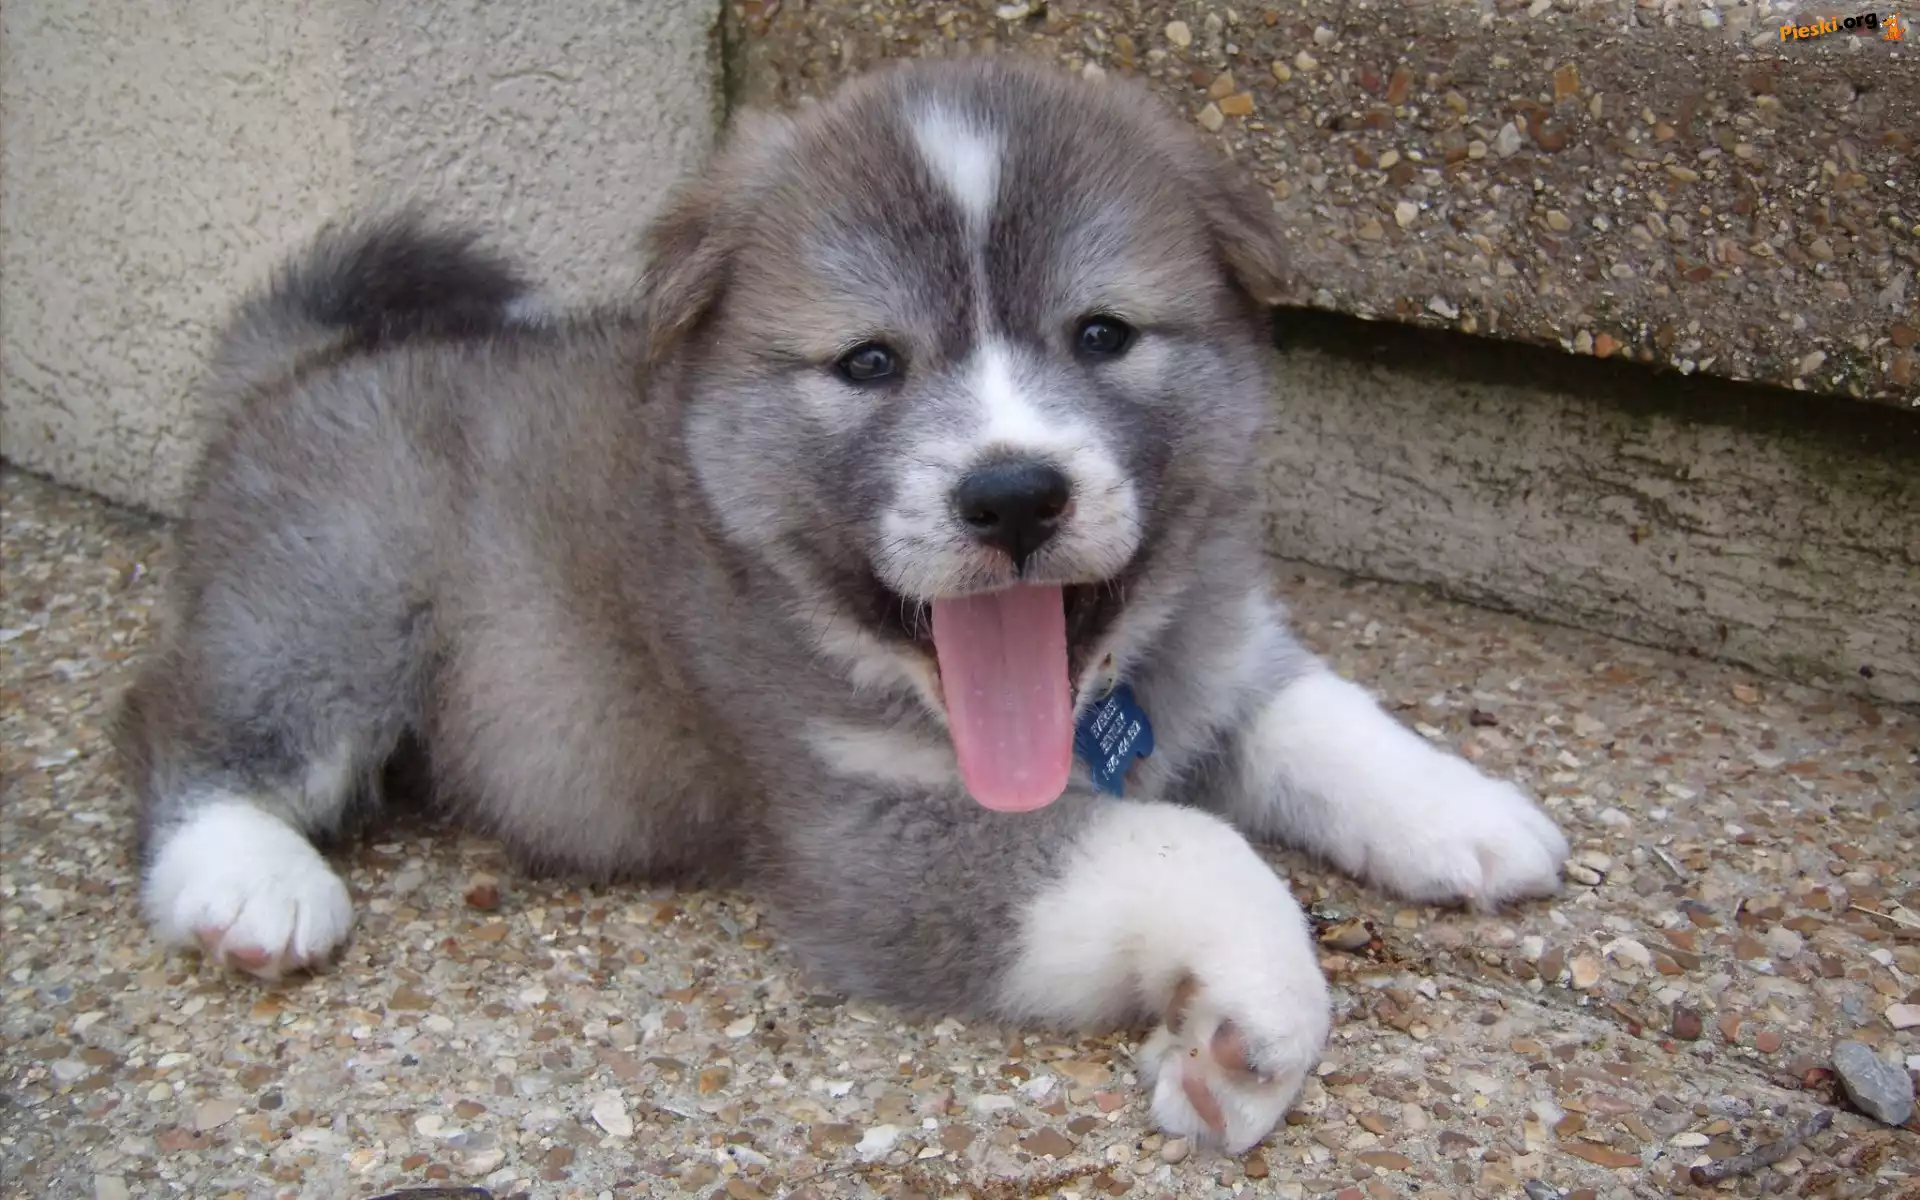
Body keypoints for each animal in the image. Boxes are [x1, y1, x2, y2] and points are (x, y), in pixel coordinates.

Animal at [113, 54, 1569, 1153]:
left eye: (1102, 334)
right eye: (868, 362)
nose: (1013, 494)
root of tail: (300, 361)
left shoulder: (1210, 653)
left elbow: (1322, 714)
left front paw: (1468, 817)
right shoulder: (870, 843)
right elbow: (1189, 845)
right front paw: (1252, 1028)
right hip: (334, 611)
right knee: (182, 727)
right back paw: (247, 885)